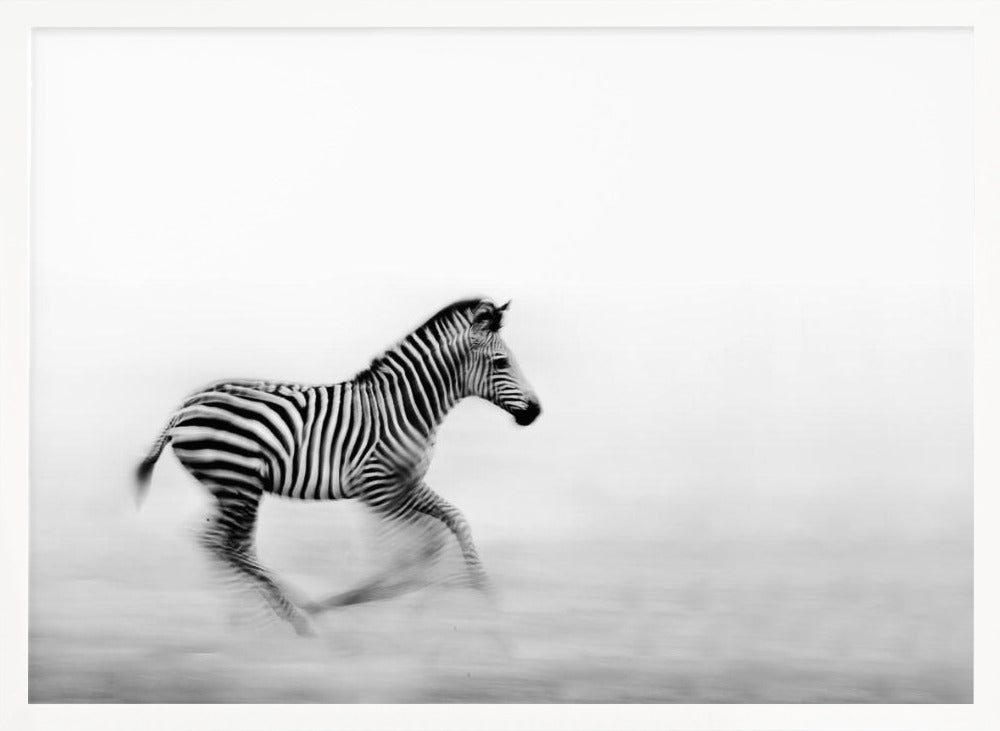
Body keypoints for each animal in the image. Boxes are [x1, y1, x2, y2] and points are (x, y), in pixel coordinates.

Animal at [135, 298, 541, 636]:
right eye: (502, 363)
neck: (408, 408)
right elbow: (409, 551)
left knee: (223, 544)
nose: (535, 412)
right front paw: (376, 603)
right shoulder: (378, 490)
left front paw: (486, 596)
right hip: (239, 483)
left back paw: (255, 620)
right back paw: (294, 617)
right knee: (225, 545)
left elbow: (453, 524)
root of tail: (184, 409)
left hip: (229, 487)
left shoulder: (406, 485)